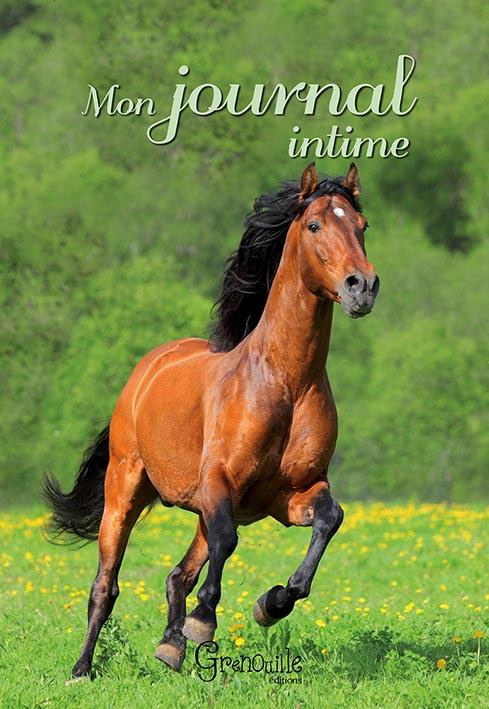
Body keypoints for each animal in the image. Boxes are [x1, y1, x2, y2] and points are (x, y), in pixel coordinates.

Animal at [43, 162, 379, 677]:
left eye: (362, 225)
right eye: (314, 225)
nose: (361, 286)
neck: (285, 382)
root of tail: (149, 367)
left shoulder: (291, 494)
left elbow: (330, 519)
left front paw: (272, 603)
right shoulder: (220, 482)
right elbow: (227, 542)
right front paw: (204, 621)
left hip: (198, 505)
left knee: (177, 574)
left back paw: (170, 647)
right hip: (125, 490)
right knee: (107, 583)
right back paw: (83, 670)